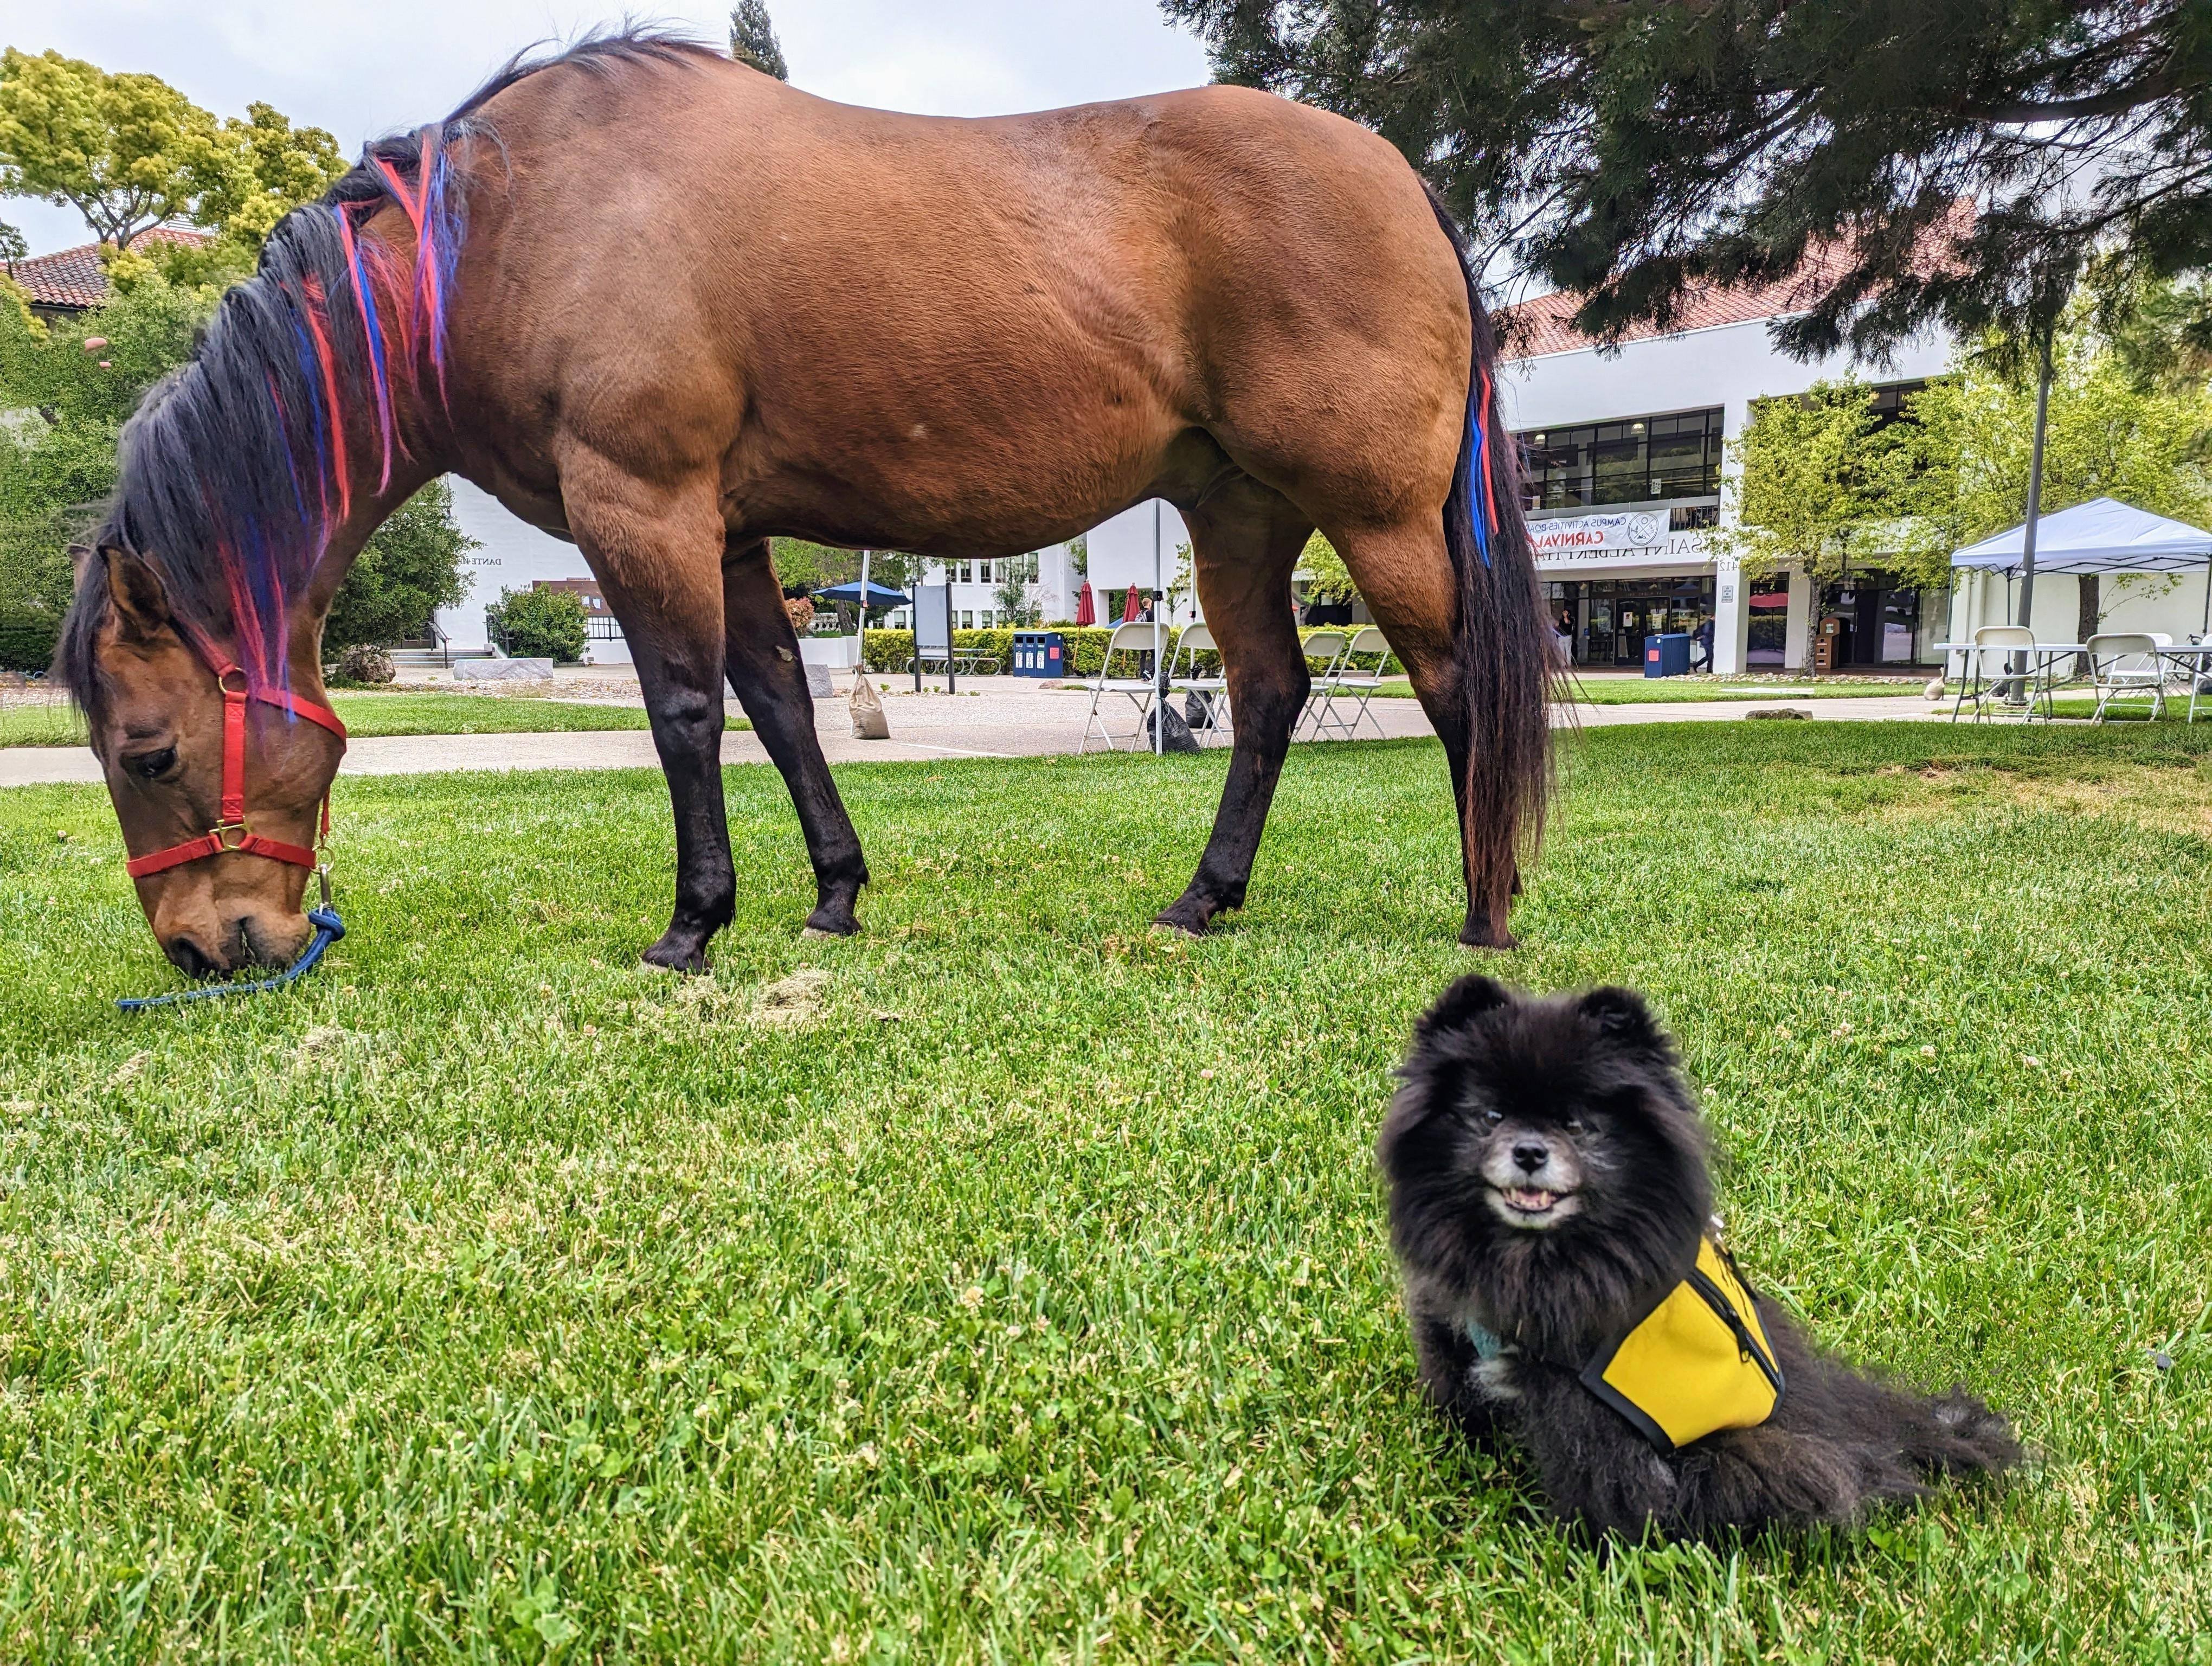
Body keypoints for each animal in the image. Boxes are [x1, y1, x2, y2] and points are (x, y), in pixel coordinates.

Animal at [56, 32, 1539, 973]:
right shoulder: (727, 529)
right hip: (1236, 516)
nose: (203, 950)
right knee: (1272, 691)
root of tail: (1398, 175)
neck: (506, 230)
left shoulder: (640, 507)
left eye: (148, 753)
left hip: (1376, 514)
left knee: (1453, 680)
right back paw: (1201, 900)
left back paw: (1485, 908)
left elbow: (683, 710)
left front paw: (692, 924)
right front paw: (832, 897)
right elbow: (778, 703)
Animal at [1380, 973, 2026, 1531]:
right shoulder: (1452, 1328)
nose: (1531, 1151)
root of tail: (1841, 1414)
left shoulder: (1587, 1410)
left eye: (1578, 1125)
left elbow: (1600, 1484)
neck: (1537, 1255)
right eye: (1490, 1116)